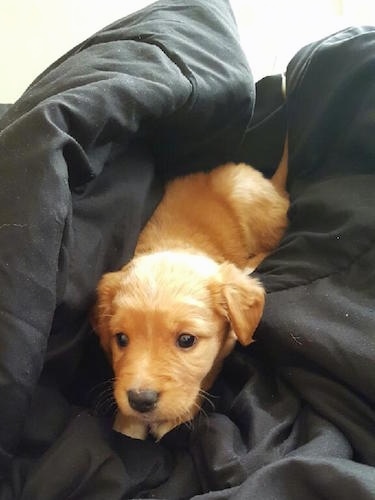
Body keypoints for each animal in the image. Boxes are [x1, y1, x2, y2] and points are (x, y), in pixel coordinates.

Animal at [92, 158, 290, 440]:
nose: (141, 400)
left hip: (245, 191)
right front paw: (128, 423)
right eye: (120, 338)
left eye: (186, 340)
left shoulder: (225, 348)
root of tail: (275, 186)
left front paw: (174, 420)